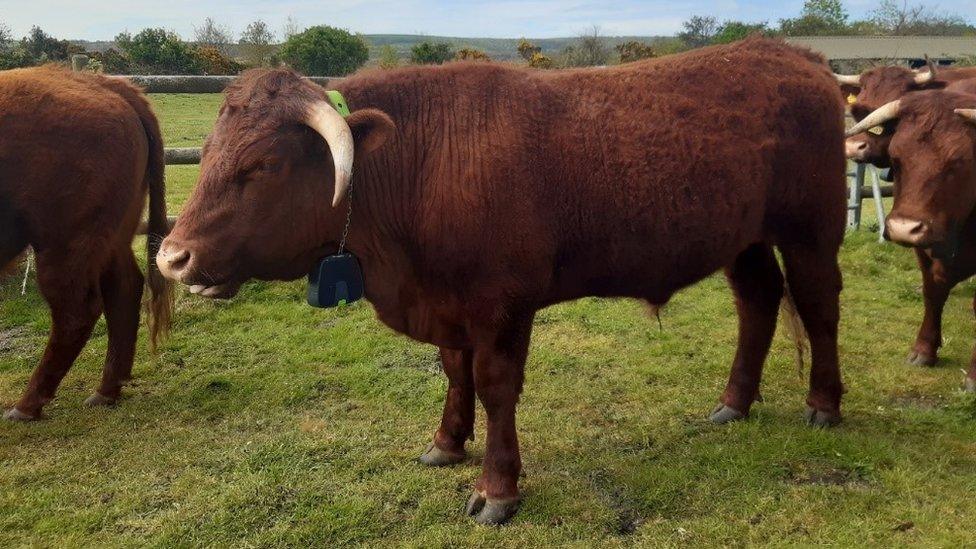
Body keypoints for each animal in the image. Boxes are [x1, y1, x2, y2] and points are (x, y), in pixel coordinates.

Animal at [0, 67, 172, 420]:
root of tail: (103, 84)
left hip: (61, 244)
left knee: (76, 311)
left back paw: (26, 407)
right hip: (112, 236)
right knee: (124, 287)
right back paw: (105, 391)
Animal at [848, 86, 976, 386]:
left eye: (959, 162)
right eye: (896, 158)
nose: (903, 228)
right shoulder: (923, 252)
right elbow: (932, 294)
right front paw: (924, 350)